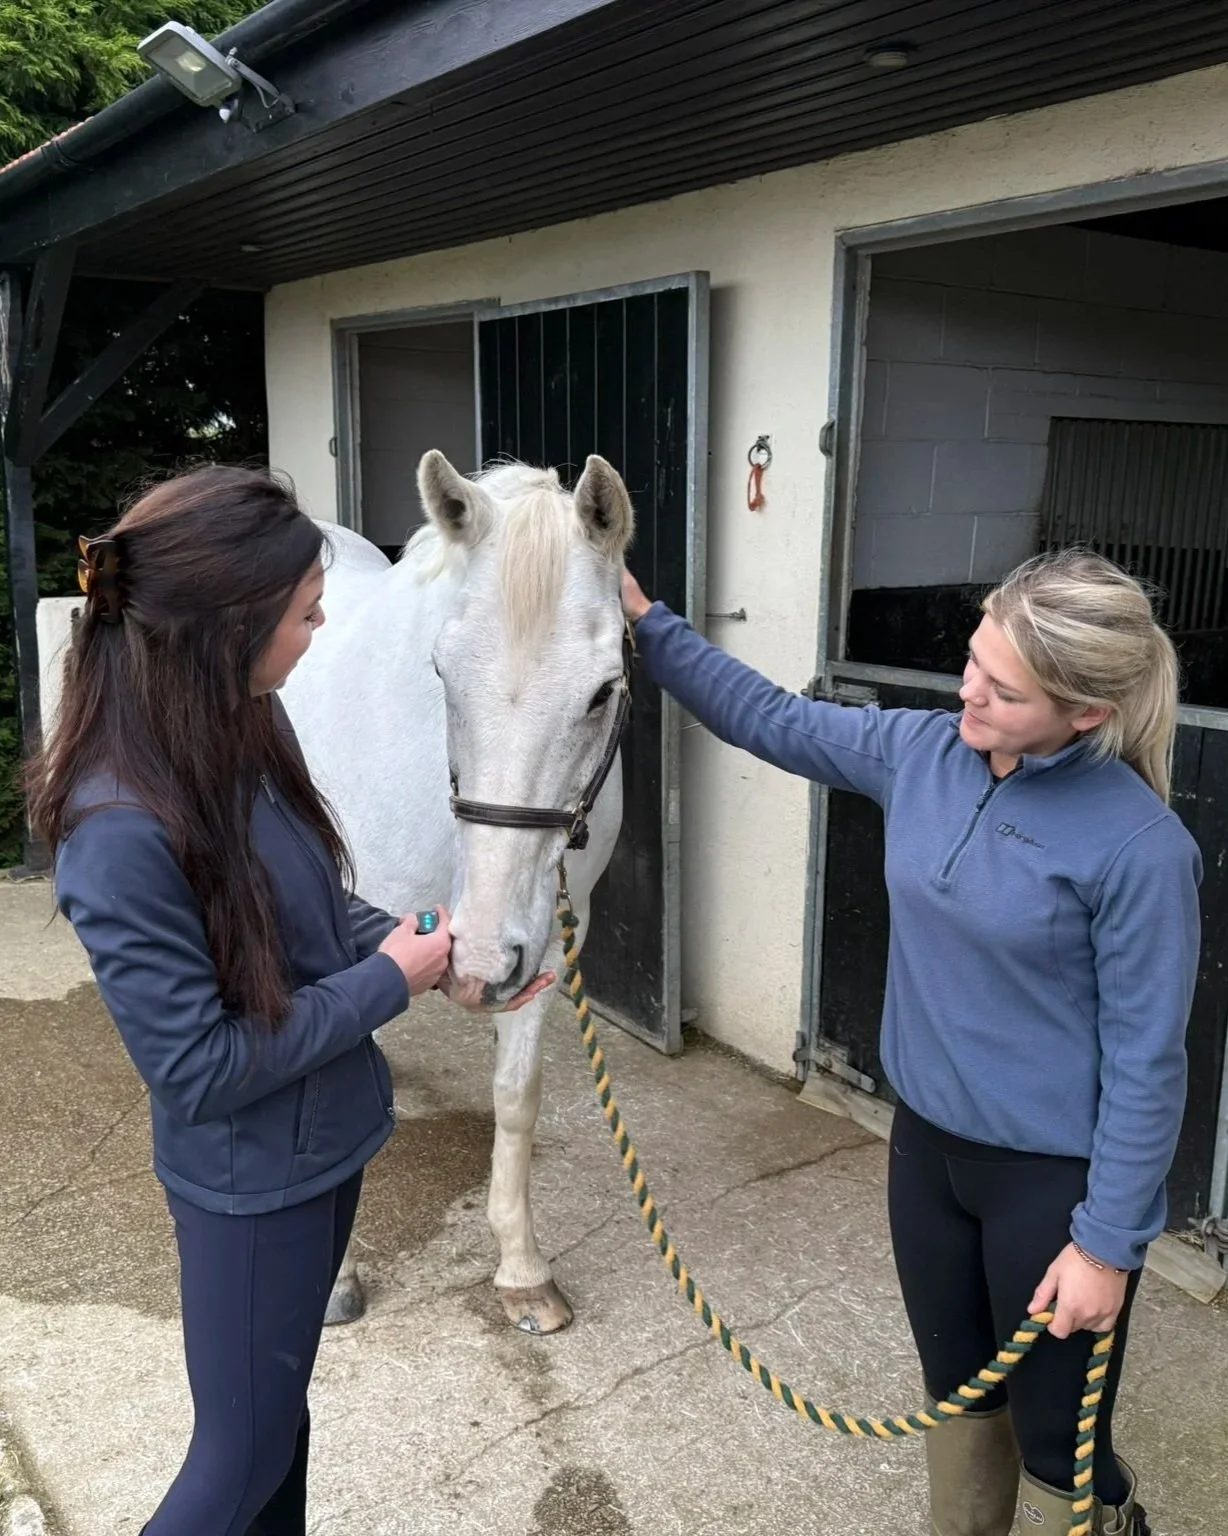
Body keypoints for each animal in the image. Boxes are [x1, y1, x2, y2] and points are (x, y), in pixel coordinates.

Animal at [280, 449, 634, 1333]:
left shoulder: (544, 943)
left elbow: (516, 1095)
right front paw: (332, 1281)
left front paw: (522, 1270)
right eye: (442, 672)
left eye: (602, 690)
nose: (474, 964)